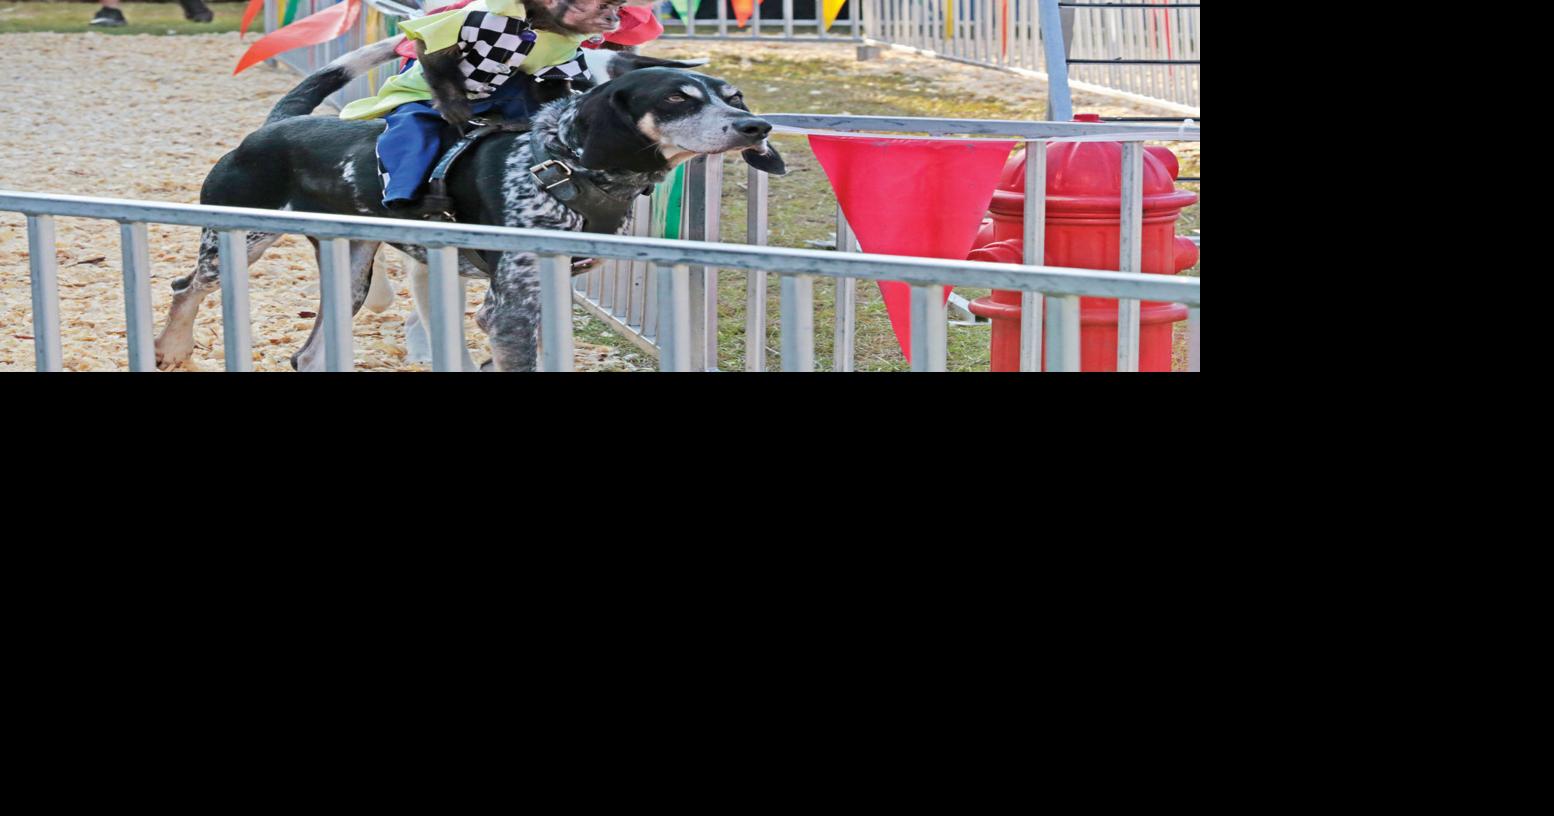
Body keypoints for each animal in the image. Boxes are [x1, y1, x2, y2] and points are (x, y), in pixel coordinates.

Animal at [154, 37, 789, 368]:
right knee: (186, 288)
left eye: (734, 96)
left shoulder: (534, 297)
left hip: (351, 275)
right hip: (235, 242)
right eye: (677, 99)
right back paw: (170, 347)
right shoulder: (508, 311)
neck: (563, 164)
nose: (755, 126)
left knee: (305, 356)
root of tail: (274, 125)